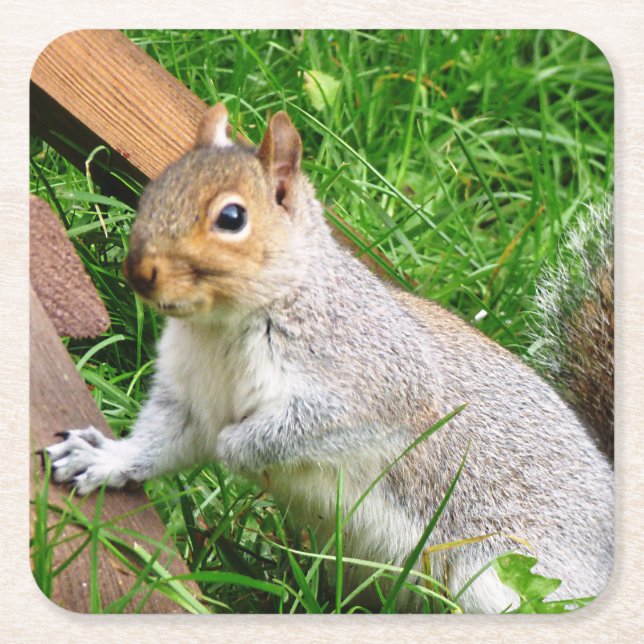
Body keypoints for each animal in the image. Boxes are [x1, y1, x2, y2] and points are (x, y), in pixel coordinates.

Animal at [45, 103, 613, 614]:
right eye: (154, 189)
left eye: (232, 217)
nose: (137, 271)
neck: (224, 327)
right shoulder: (190, 397)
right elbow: (163, 443)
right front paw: (103, 459)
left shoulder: (376, 385)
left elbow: (305, 428)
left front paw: (237, 449)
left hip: (505, 576)